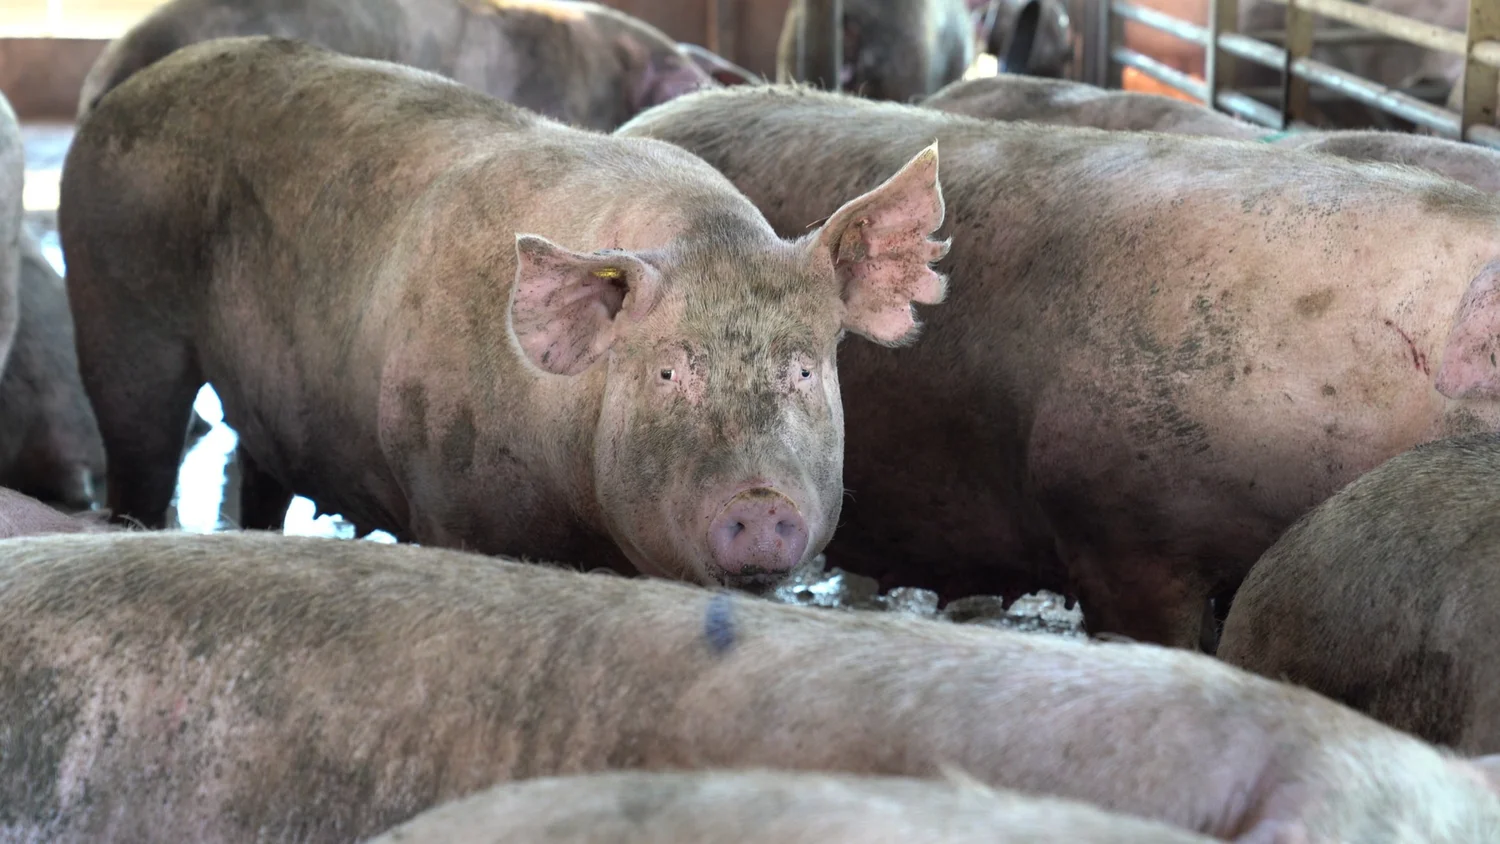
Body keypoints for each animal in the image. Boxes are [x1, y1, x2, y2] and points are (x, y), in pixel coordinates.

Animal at [60, 38, 949, 589]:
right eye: (668, 372)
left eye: (804, 369)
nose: (761, 505)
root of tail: (120, 97)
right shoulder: (442, 493)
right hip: (114, 301)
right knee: (140, 445)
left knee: (259, 471)